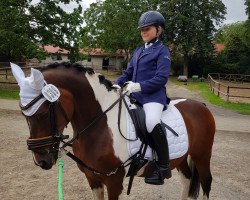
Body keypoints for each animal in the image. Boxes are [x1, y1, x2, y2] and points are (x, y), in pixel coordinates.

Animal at [11, 61, 215, 199]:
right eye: (23, 113)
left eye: (43, 113)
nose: (41, 161)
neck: (100, 125)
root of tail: (201, 105)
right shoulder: (93, 179)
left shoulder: (114, 181)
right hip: (181, 157)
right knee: (187, 180)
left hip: (202, 156)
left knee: (206, 182)